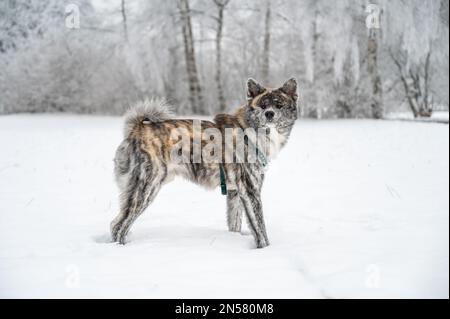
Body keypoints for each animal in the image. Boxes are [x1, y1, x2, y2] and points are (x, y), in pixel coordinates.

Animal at [109, 79, 298, 249]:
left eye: (279, 105)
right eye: (263, 106)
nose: (269, 114)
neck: (251, 133)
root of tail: (137, 128)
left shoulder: (235, 193)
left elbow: (234, 223)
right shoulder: (251, 191)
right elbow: (260, 228)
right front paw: (266, 250)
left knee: (116, 223)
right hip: (146, 187)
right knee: (119, 225)